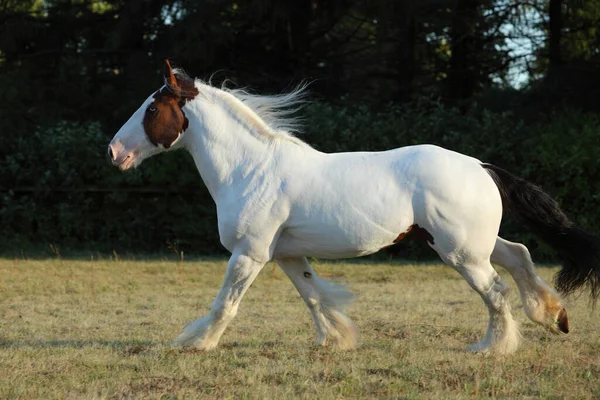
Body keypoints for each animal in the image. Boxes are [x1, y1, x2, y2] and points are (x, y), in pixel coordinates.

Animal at [108, 59, 600, 354]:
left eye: (152, 108)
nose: (114, 152)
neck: (251, 170)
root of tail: (482, 166)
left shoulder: (249, 253)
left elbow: (225, 304)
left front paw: (196, 343)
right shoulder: (286, 254)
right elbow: (312, 296)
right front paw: (336, 340)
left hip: (461, 252)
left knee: (496, 290)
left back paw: (491, 348)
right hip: (475, 243)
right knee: (520, 255)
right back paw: (553, 317)